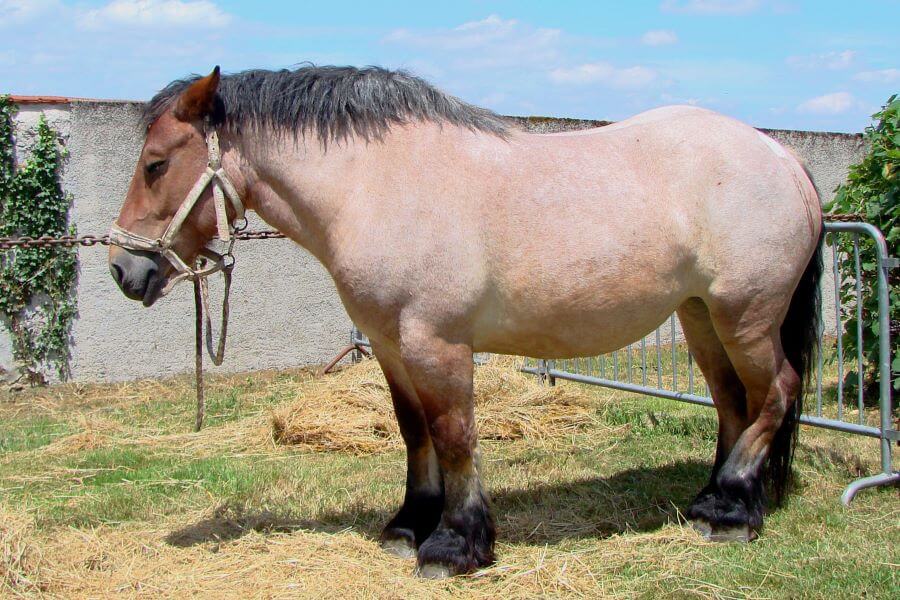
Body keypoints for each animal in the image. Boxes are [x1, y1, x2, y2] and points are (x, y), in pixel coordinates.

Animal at [107, 64, 824, 576]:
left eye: (157, 164)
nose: (123, 270)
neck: (379, 187)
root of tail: (781, 157)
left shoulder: (437, 344)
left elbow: (454, 436)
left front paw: (454, 544)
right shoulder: (391, 346)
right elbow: (414, 433)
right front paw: (408, 524)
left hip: (745, 316)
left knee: (776, 393)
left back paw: (731, 512)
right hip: (701, 317)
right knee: (734, 402)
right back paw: (715, 500)